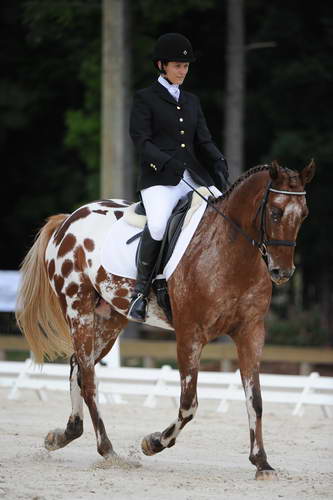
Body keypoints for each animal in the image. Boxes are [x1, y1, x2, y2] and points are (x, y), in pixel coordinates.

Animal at [16, 161, 314, 480]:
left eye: (304, 215)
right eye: (275, 212)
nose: (282, 272)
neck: (231, 252)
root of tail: (68, 220)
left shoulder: (250, 332)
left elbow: (255, 399)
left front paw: (262, 463)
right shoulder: (189, 335)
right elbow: (188, 403)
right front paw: (154, 442)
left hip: (110, 319)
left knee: (78, 367)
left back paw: (64, 435)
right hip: (77, 308)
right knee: (89, 379)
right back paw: (108, 450)